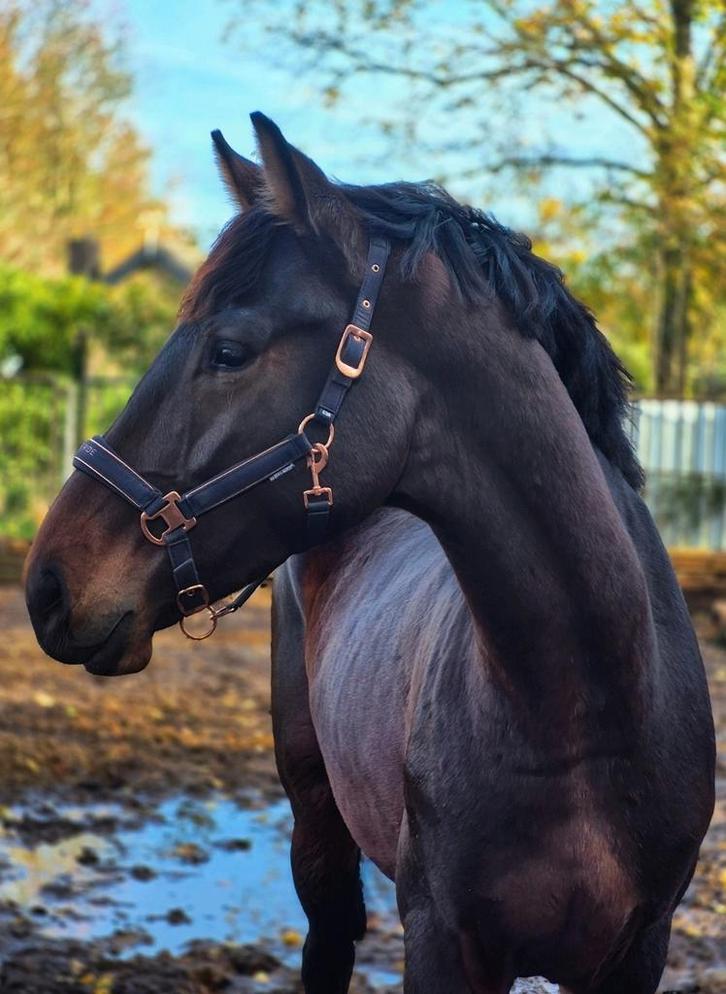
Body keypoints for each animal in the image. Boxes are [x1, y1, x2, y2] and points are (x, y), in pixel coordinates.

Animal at [25, 113, 714, 994]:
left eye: (229, 350)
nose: (48, 583)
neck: (583, 711)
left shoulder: (639, 949)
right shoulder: (442, 941)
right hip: (315, 815)